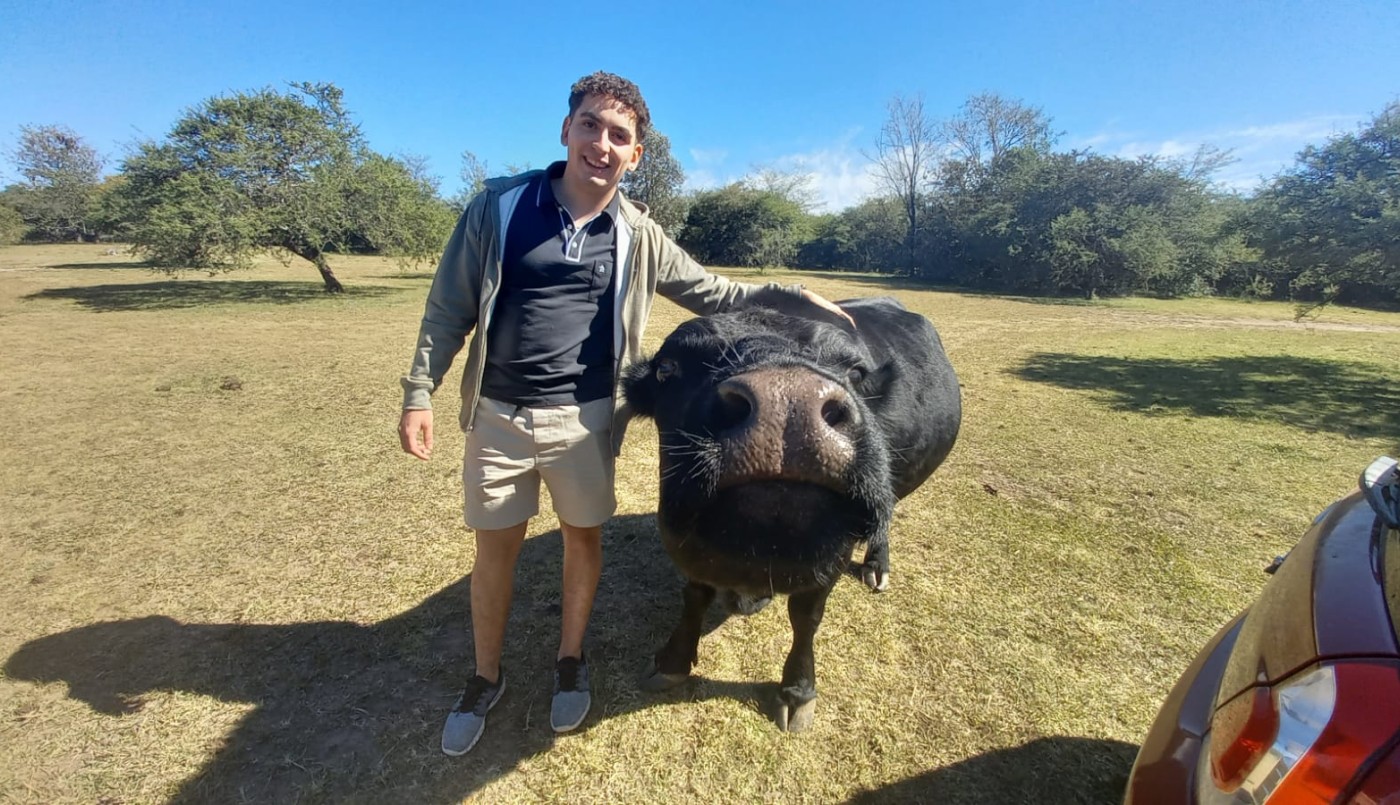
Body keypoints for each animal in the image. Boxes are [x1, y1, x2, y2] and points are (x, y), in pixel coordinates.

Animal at [622, 288, 961, 731]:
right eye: (668, 368)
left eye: (855, 372)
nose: (786, 398)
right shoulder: (689, 541)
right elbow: (695, 595)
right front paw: (673, 661)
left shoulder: (832, 557)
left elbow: (805, 616)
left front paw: (797, 690)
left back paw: (877, 565)